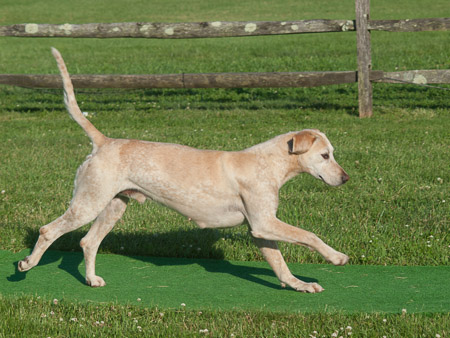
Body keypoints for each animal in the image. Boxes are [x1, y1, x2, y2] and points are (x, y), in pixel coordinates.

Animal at [17, 48, 350, 294]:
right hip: (87, 205)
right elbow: (309, 235)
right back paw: (26, 265)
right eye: (325, 155)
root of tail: (104, 141)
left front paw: (300, 284)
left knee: (88, 242)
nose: (346, 178)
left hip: (113, 206)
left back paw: (91, 280)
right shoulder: (265, 223)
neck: (268, 163)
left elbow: (280, 265)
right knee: (48, 231)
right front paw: (336, 257)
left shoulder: (260, 229)